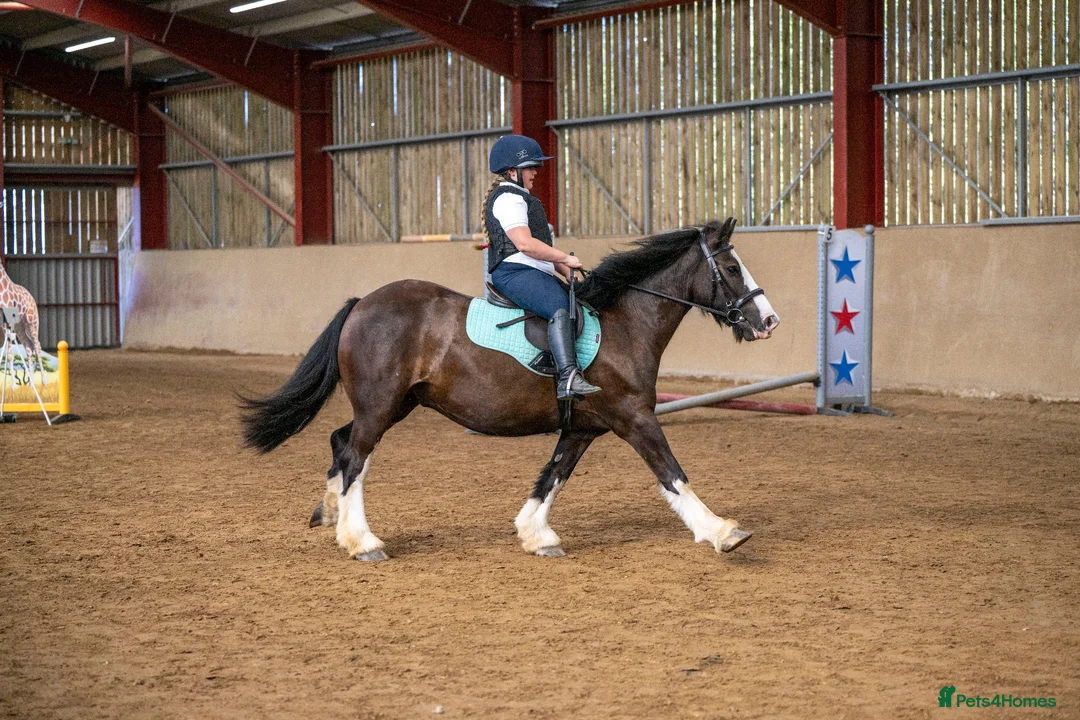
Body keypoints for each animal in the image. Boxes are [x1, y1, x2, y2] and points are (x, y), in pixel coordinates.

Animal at [240, 218, 779, 561]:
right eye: (732, 269)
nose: (768, 321)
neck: (624, 325)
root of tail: (360, 305)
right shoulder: (635, 418)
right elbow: (673, 475)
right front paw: (722, 531)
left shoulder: (584, 428)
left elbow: (552, 477)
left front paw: (536, 536)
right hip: (381, 406)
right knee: (354, 456)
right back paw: (363, 542)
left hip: (396, 404)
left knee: (341, 443)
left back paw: (331, 516)